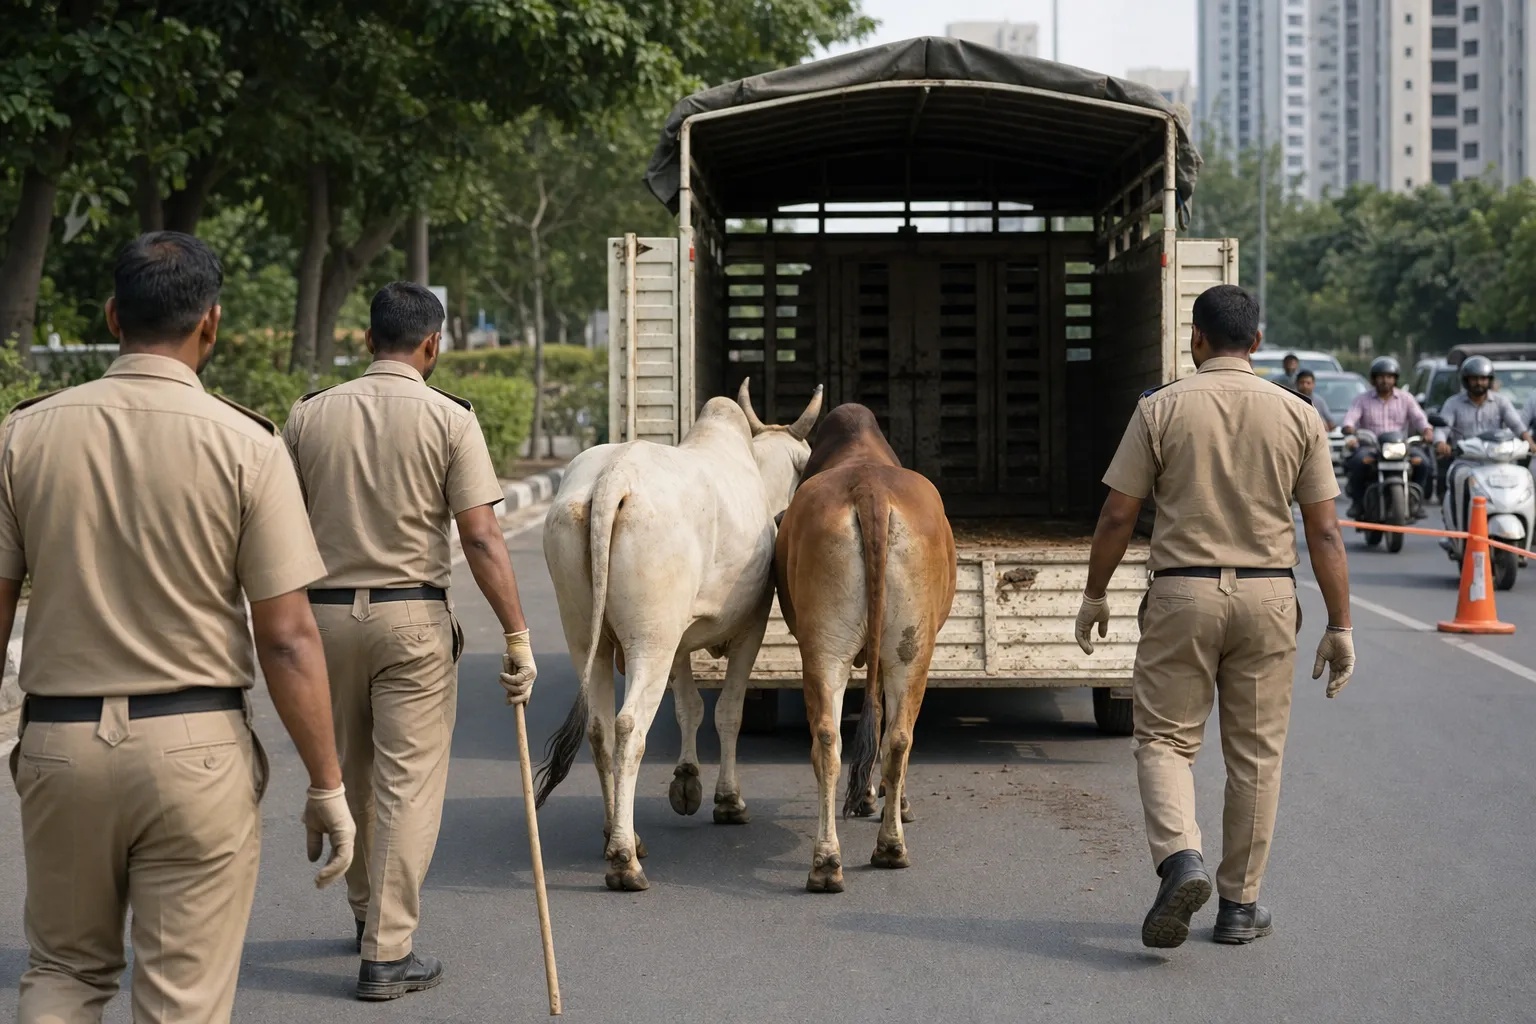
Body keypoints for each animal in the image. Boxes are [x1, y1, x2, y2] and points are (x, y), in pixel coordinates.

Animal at [536, 380, 822, 892]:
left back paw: (618, 833)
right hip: (651, 641)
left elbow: (689, 705)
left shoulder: (680, 642)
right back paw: (625, 861)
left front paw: (687, 780)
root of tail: (612, 480)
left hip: (589, 634)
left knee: (599, 727)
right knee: (629, 727)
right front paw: (728, 800)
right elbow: (728, 712)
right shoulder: (751, 624)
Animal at [774, 404, 956, 893]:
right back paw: (874, 848)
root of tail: (869, 490)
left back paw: (838, 859)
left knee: (840, 739)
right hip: (904, 652)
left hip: (833, 649)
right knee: (892, 736)